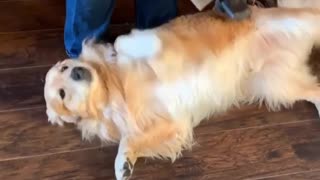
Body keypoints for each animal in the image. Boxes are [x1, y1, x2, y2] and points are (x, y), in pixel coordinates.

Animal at [43, 2, 320, 179]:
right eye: (62, 95)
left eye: (65, 67)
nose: (77, 72)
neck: (114, 89)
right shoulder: (172, 122)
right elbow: (131, 139)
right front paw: (124, 163)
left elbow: (123, 43)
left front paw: (125, 42)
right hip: (277, 86)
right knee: (316, 91)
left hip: (298, 23)